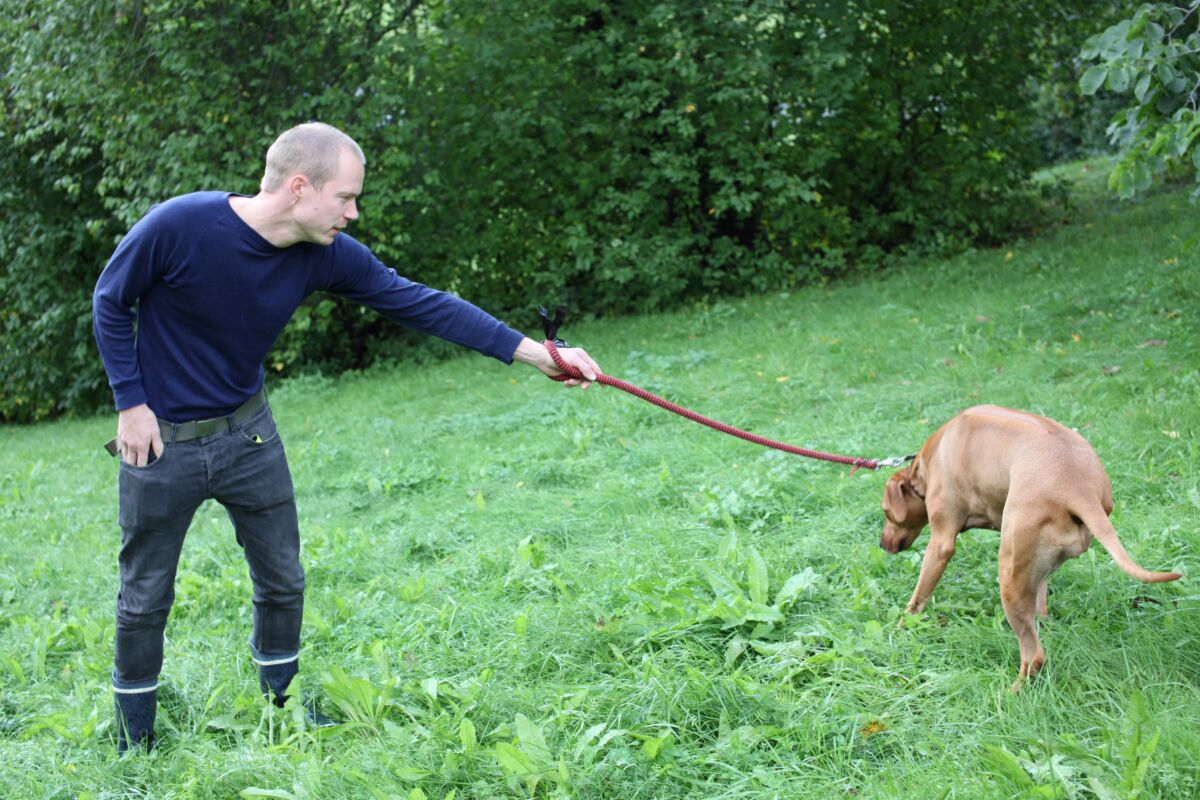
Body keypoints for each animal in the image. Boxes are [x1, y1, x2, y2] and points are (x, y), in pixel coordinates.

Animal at [883, 407, 1180, 690]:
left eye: (886, 512)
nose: (881, 544)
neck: (929, 460)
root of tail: (1079, 489)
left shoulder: (941, 543)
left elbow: (917, 597)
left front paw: (901, 627)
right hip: (1030, 563)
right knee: (1040, 613)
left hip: (1009, 574)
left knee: (1034, 655)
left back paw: (1009, 693)